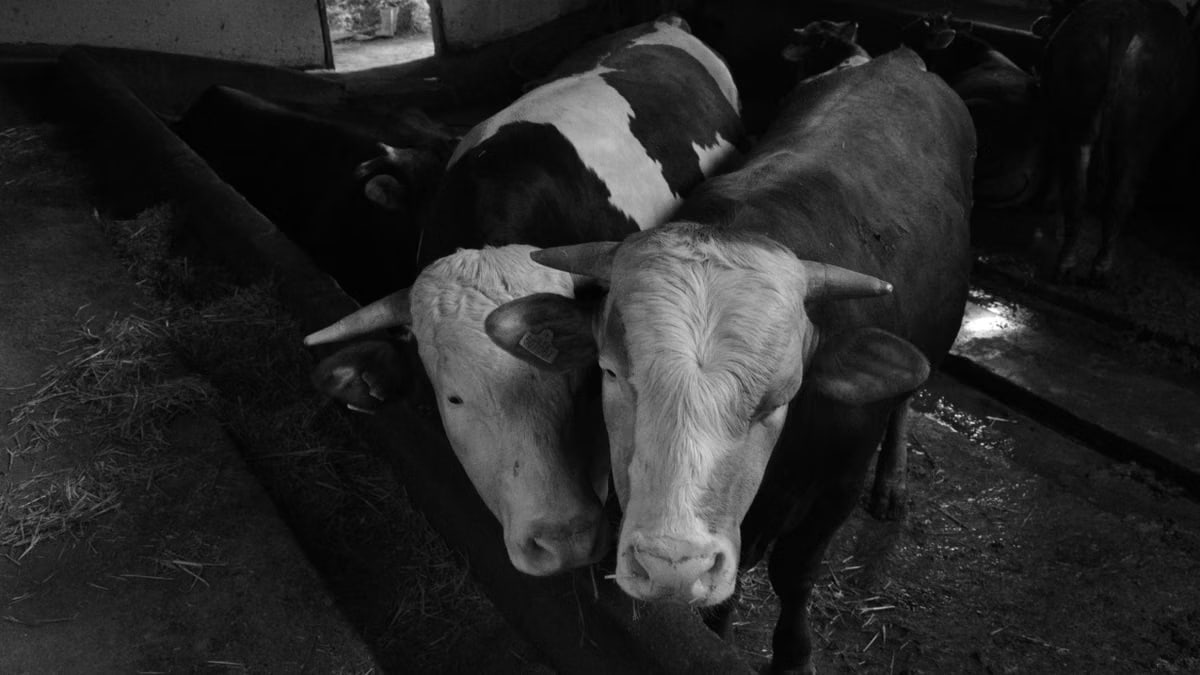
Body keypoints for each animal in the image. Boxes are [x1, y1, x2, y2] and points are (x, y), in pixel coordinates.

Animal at [484, 28, 974, 672]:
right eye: (611, 373)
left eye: (782, 396)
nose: (672, 566)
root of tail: (897, 57)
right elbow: (729, 590)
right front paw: (718, 628)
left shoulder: (836, 485)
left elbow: (795, 576)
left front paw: (792, 654)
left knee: (905, 400)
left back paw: (892, 483)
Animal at [1032, 0, 1197, 282]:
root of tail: (1123, 24)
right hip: (1137, 134)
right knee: (1120, 197)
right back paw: (1101, 268)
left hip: (1080, 117)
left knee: (1077, 191)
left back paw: (1066, 263)